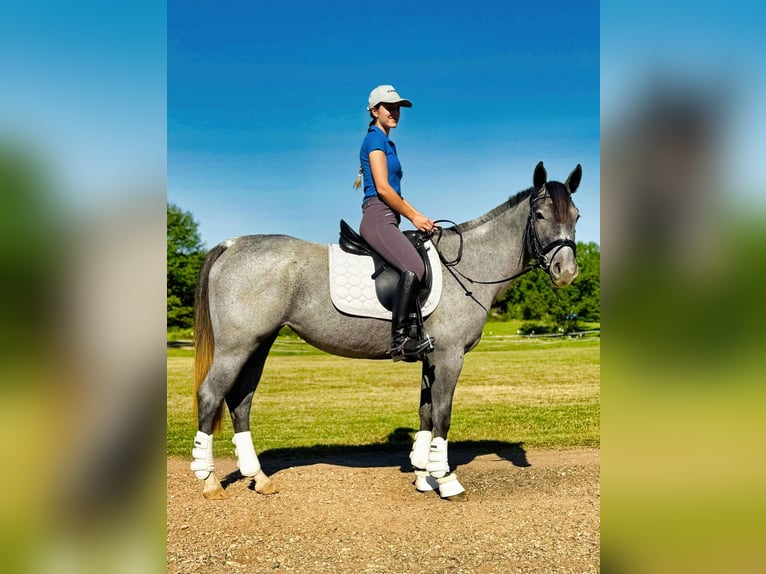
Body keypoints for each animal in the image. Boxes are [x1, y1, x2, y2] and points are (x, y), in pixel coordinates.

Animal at [190, 161, 583, 500]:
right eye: (540, 215)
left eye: (576, 216)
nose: (565, 271)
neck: (470, 264)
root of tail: (232, 244)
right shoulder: (450, 357)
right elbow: (442, 414)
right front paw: (446, 480)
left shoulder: (431, 358)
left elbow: (426, 412)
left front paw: (424, 475)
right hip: (236, 347)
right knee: (210, 396)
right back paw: (209, 481)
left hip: (259, 344)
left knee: (240, 401)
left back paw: (258, 477)